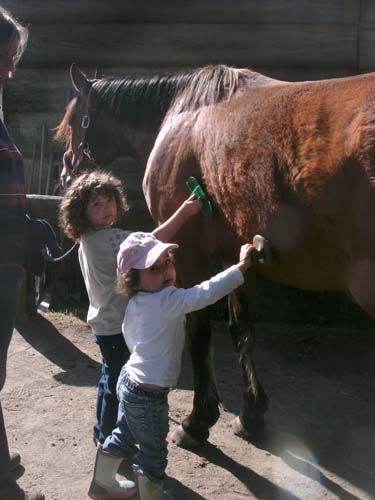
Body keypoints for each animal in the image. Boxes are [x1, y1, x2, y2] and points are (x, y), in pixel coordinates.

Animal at [55, 63, 375, 450]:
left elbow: (199, 332)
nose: (66, 172)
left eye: (74, 122)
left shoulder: (188, 254)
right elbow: (242, 330)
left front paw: (196, 422)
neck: (182, 115)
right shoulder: (234, 255)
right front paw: (251, 416)